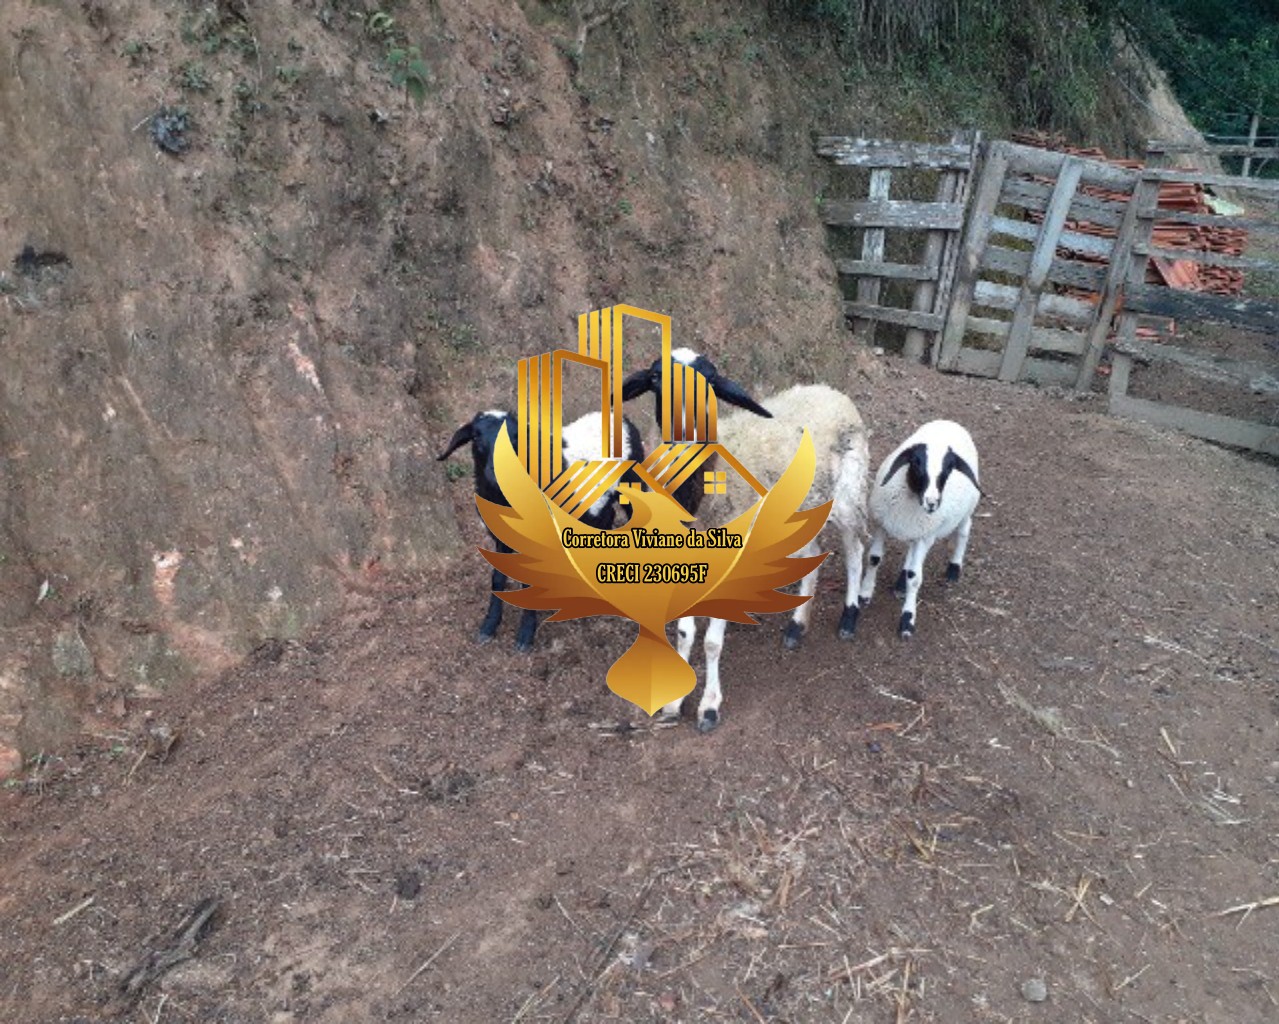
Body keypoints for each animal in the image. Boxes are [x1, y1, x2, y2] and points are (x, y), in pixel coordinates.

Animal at [854, 416, 982, 639]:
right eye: (916, 462)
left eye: (949, 469)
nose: (932, 503)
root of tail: (950, 422)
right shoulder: (882, 524)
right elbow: (874, 559)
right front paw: (865, 593)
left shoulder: (924, 536)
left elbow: (915, 578)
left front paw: (907, 620)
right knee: (911, 552)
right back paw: (901, 582)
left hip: (965, 511)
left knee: (963, 531)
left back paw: (954, 568)